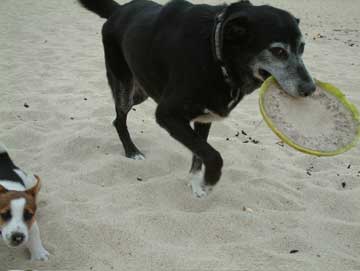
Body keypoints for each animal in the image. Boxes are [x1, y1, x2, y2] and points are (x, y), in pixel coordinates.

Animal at [77, 0, 314, 198]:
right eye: (278, 51)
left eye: (302, 48)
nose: (310, 89)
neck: (216, 54)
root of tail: (119, 11)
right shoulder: (167, 114)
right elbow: (212, 155)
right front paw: (210, 181)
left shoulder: (204, 118)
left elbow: (199, 154)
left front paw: (195, 184)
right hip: (125, 87)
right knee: (119, 118)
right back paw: (131, 151)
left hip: (142, 90)